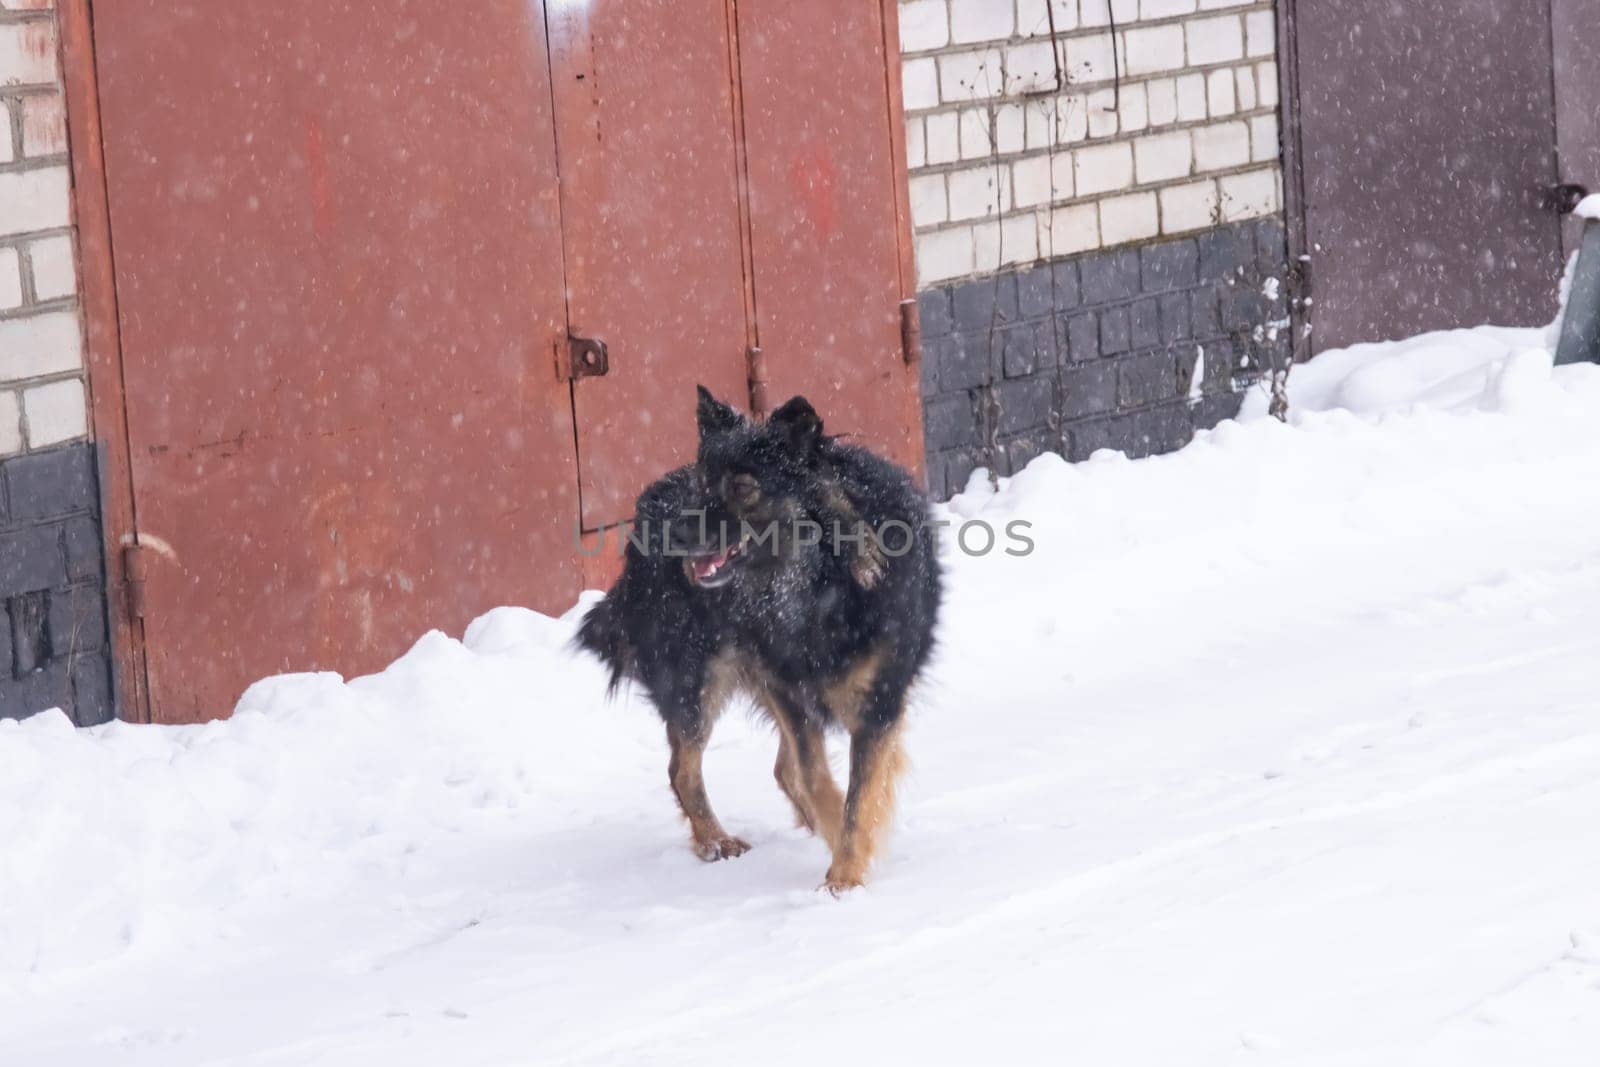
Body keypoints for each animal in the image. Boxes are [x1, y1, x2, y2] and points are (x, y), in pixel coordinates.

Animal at [582, 388, 940, 889]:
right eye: (701, 481)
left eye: (743, 487)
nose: (675, 533)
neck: (812, 589)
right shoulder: (787, 687)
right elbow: (815, 777)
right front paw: (841, 862)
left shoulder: (879, 700)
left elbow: (858, 794)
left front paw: (845, 878)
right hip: (696, 678)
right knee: (684, 769)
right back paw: (715, 841)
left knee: (773, 768)